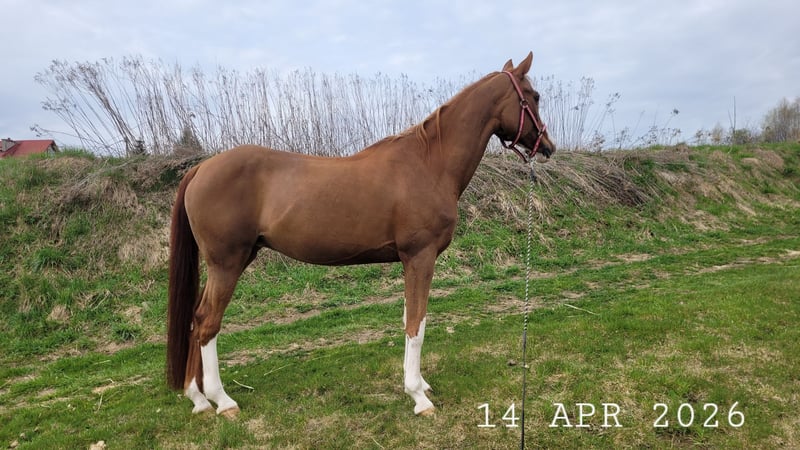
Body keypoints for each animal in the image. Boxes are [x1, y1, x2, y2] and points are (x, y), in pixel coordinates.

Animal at [166, 52, 555, 418]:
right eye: (533, 96)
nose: (548, 147)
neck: (430, 163)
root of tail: (201, 168)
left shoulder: (410, 261)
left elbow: (409, 320)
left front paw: (419, 385)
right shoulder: (421, 256)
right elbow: (417, 324)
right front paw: (418, 397)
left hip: (229, 262)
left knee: (196, 318)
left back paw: (198, 399)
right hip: (227, 263)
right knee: (208, 323)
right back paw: (222, 401)